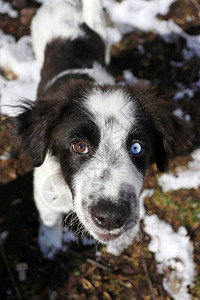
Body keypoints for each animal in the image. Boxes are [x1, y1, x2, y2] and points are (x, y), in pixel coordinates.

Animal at [13, 0, 189, 258]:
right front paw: (50, 245)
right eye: (79, 146)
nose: (110, 217)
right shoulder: (43, 189)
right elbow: (49, 218)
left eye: (137, 148)